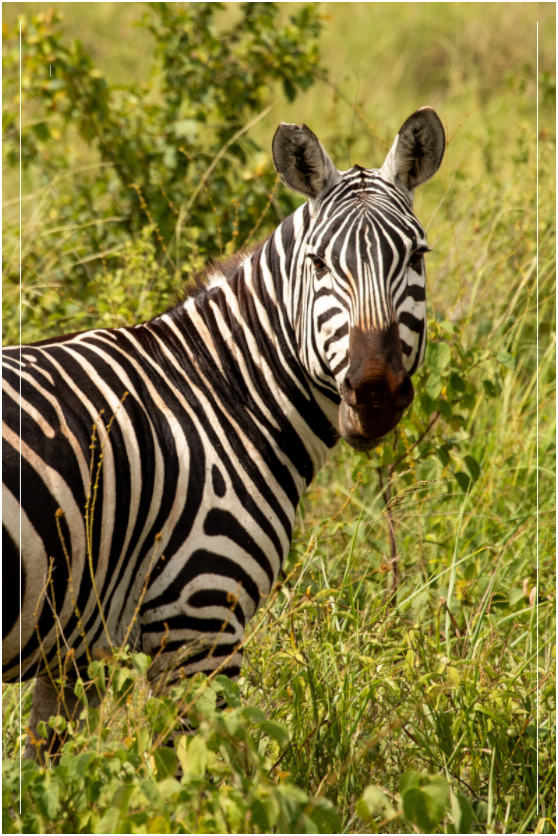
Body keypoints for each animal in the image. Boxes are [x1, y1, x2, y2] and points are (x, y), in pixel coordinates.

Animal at [3, 108, 445, 757]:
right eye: (318, 264)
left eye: (416, 256)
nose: (376, 394)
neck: (221, 390)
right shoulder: (199, 623)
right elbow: (203, 773)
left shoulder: (74, 652)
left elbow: (53, 771)